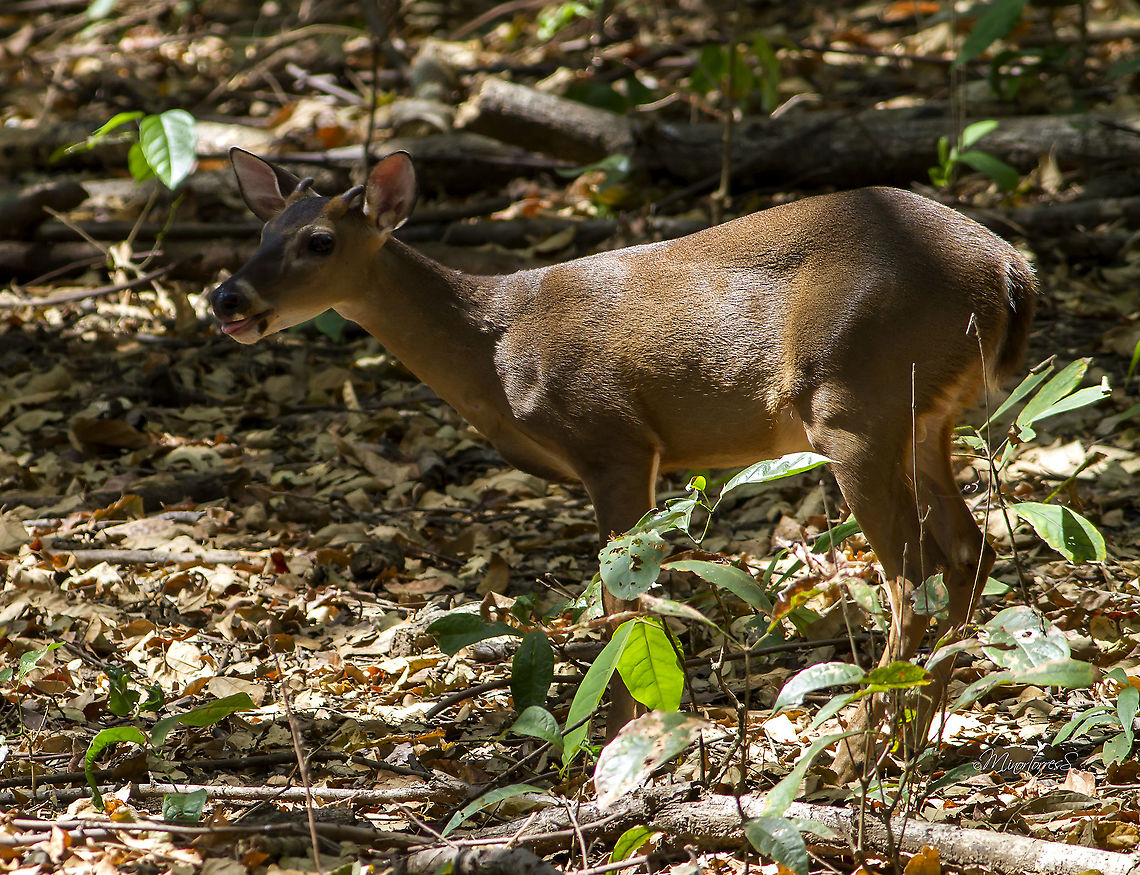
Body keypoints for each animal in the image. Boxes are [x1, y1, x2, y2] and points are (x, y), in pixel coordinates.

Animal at [209, 147, 1036, 780]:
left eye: (319, 240)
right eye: (261, 229)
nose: (225, 297)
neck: (495, 343)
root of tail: (1008, 268)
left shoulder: (613, 438)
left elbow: (621, 607)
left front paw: (618, 752)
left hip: (854, 399)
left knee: (912, 573)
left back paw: (856, 752)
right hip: (922, 417)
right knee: (970, 550)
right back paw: (911, 739)